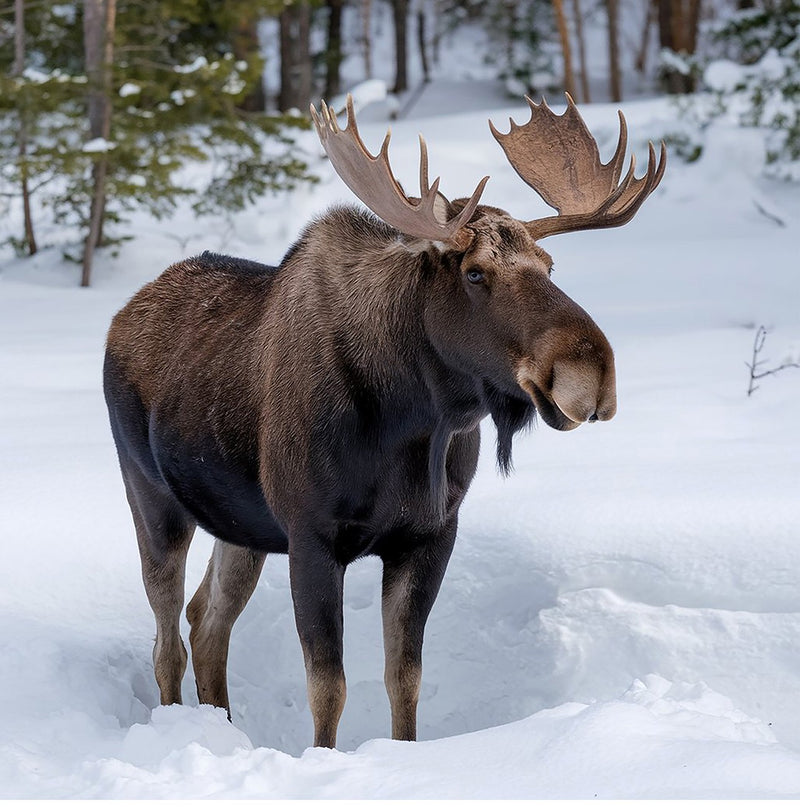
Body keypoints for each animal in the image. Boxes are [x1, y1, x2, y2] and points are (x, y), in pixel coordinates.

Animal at [103, 94, 665, 749]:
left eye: (549, 266)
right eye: (475, 272)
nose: (590, 373)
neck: (411, 426)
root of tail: (121, 316)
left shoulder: (429, 536)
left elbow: (405, 677)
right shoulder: (312, 536)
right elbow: (329, 688)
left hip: (241, 527)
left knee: (207, 620)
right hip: (152, 498)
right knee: (167, 639)